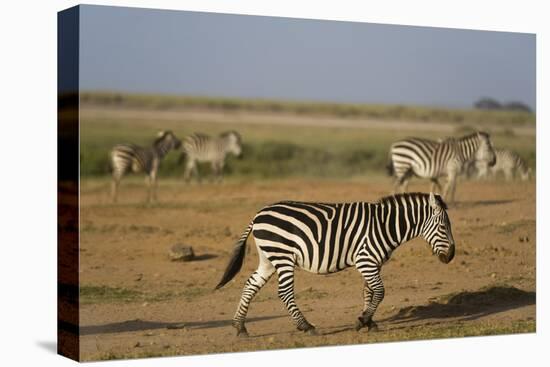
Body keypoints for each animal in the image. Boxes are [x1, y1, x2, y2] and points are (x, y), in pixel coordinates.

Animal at [216, 193, 458, 336]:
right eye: (443, 227)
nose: (451, 256)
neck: (385, 226)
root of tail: (258, 214)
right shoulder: (365, 260)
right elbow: (380, 291)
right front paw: (363, 320)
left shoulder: (372, 263)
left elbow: (369, 292)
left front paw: (368, 322)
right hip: (283, 256)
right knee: (284, 292)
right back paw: (306, 326)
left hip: (269, 258)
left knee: (250, 285)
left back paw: (240, 326)